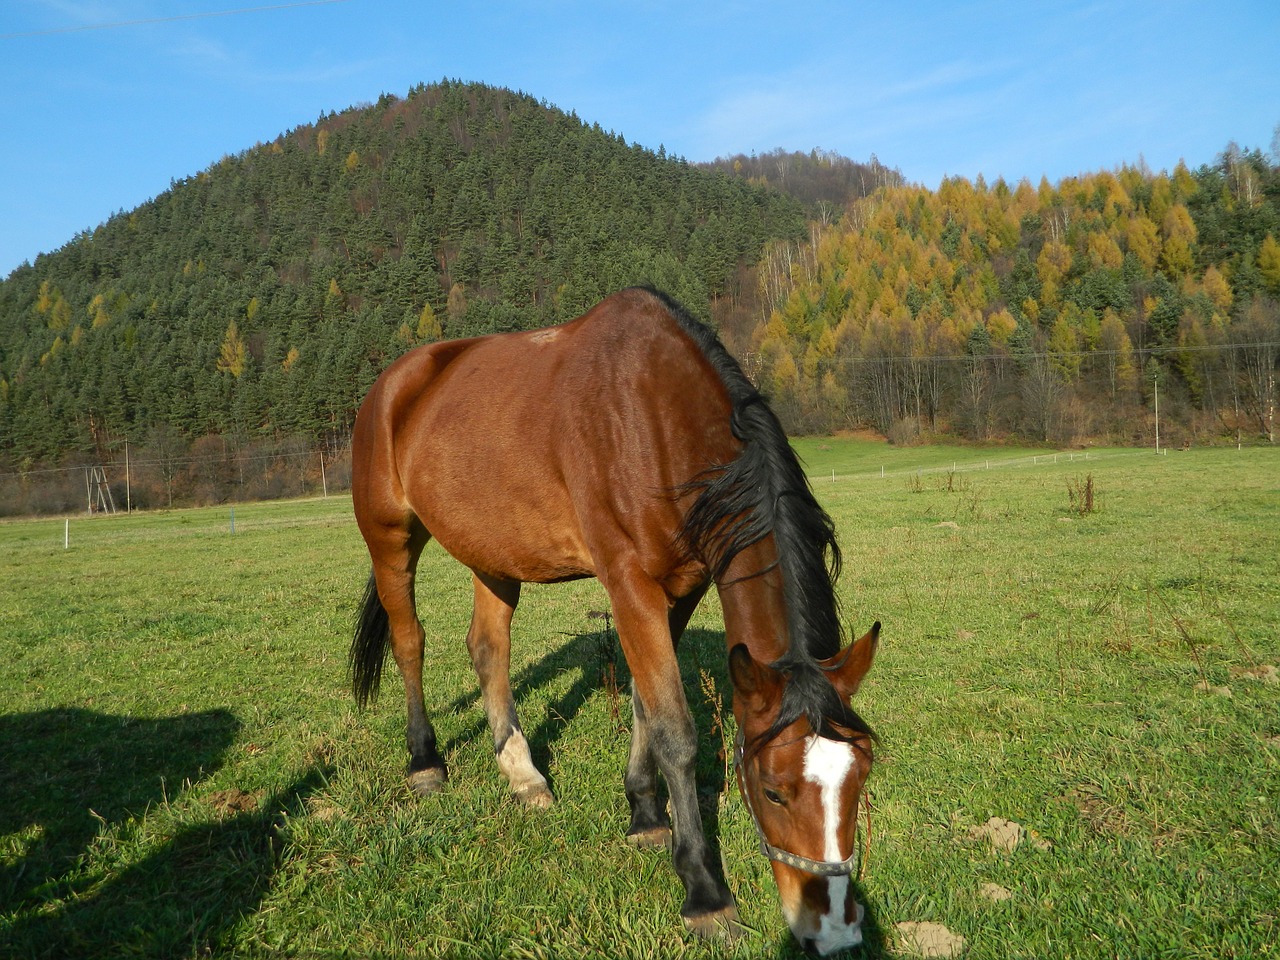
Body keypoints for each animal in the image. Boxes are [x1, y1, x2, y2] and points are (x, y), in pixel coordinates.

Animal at [350, 285, 880, 957]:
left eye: (859, 779)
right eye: (772, 790)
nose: (834, 929)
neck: (653, 415)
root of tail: (393, 383)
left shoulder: (679, 589)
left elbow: (642, 704)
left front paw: (645, 815)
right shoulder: (630, 584)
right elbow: (675, 730)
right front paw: (704, 890)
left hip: (492, 555)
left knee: (488, 647)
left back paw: (523, 774)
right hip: (390, 538)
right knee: (410, 641)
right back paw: (425, 762)